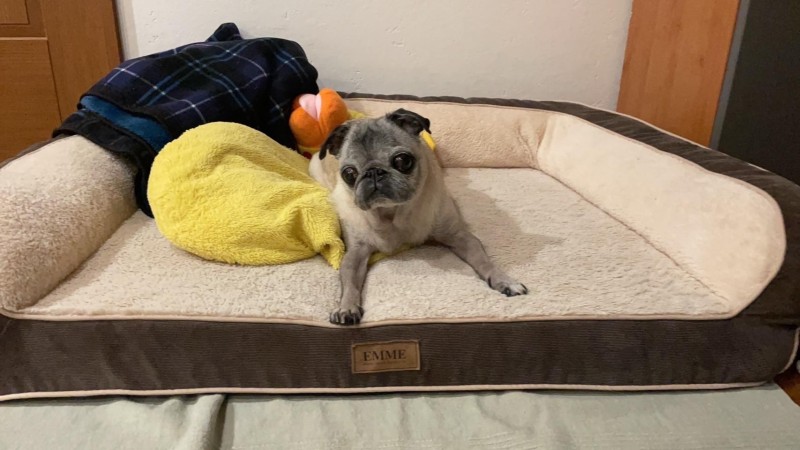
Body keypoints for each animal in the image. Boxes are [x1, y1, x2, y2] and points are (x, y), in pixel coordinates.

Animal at [309, 109, 528, 325]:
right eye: (349, 174)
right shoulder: (356, 252)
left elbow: (484, 261)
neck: (392, 212)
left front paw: (504, 280)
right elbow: (350, 283)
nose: (373, 172)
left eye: (402, 161)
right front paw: (346, 307)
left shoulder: (460, 236)